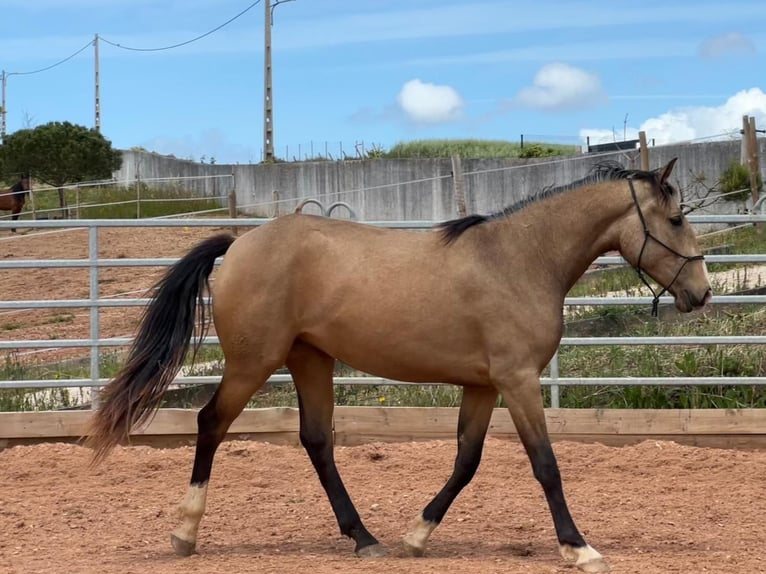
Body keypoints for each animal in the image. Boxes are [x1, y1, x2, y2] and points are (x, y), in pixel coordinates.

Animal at [85, 158, 712, 574]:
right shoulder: (518, 381)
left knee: (316, 439)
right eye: (677, 220)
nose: (701, 294)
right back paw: (184, 532)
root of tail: (239, 244)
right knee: (211, 423)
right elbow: (545, 465)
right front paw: (579, 548)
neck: (519, 259)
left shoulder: (484, 386)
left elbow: (466, 461)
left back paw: (364, 537)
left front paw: (417, 536)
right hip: (253, 362)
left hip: (310, 359)